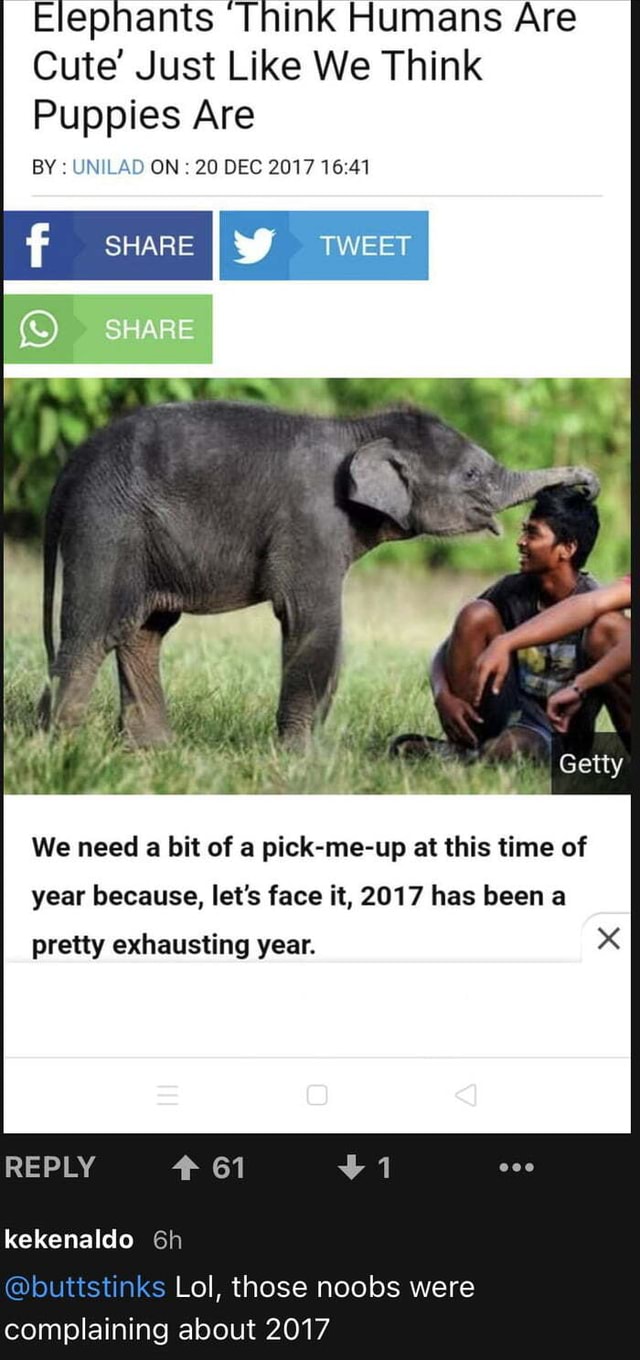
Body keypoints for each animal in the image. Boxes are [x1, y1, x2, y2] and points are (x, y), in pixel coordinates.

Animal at [38, 400, 600, 748]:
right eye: (473, 475)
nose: (585, 487)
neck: (361, 429)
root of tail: (72, 464)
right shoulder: (311, 521)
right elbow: (314, 623)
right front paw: (301, 758)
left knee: (144, 633)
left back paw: (151, 750)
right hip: (109, 526)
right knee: (92, 632)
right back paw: (61, 749)